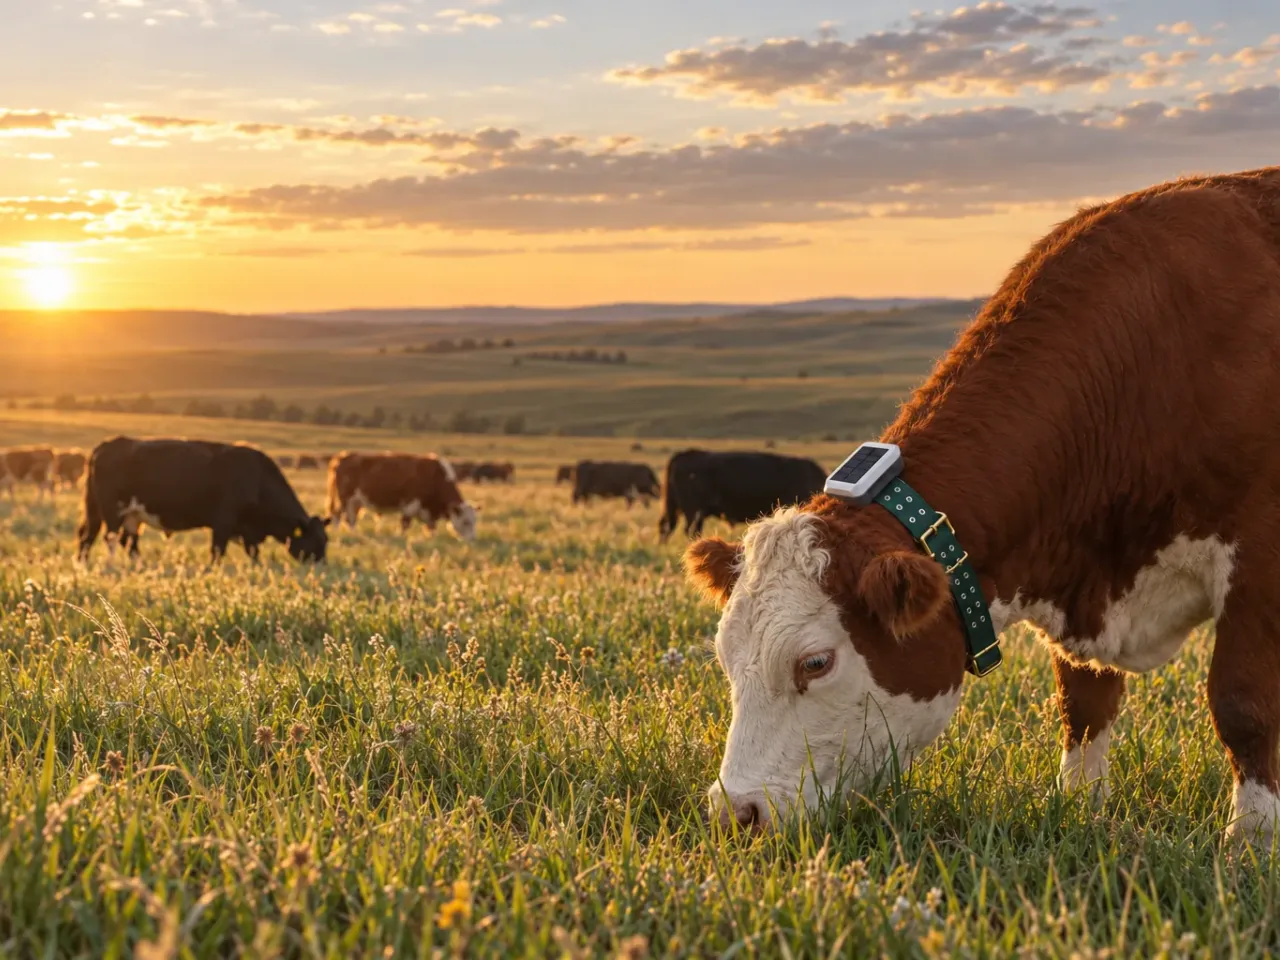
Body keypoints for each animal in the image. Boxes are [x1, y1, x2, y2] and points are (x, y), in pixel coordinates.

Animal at [77, 436, 329, 564]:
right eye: (316, 542)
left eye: (326, 540)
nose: (321, 567)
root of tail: (105, 446)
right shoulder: (223, 523)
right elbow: (217, 552)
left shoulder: (248, 531)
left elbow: (254, 555)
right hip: (111, 511)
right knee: (109, 538)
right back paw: (111, 568)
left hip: (123, 514)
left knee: (112, 540)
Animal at [325, 451, 477, 540]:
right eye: (466, 521)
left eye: (474, 521)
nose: (472, 539)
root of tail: (342, 456)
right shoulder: (410, 505)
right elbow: (405, 524)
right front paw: (401, 537)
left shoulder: (428, 512)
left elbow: (431, 527)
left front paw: (431, 538)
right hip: (345, 499)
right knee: (342, 516)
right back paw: (344, 533)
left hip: (355, 502)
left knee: (347, 518)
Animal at [683, 166, 1280, 849]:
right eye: (727, 658)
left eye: (815, 661)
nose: (735, 812)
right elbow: (1083, 703)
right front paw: (1080, 808)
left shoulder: (1259, 560)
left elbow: (1242, 704)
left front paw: (1251, 842)